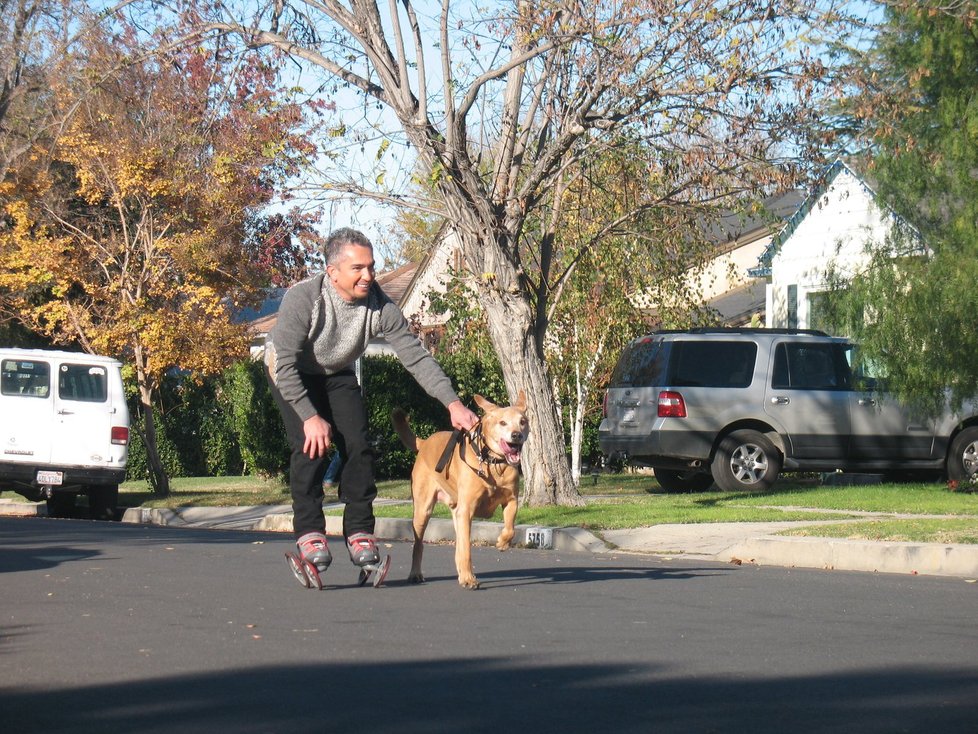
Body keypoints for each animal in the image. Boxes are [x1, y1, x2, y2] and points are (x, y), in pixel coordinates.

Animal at [388, 394, 528, 588]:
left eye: (522, 422)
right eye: (502, 422)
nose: (516, 435)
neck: (493, 462)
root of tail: (425, 442)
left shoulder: (511, 500)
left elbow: (510, 528)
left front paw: (502, 542)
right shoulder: (467, 509)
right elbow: (466, 549)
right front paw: (469, 579)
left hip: (456, 512)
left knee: (458, 546)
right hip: (424, 509)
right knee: (420, 544)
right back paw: (417, 573)